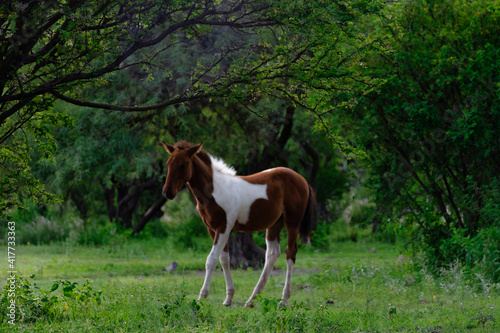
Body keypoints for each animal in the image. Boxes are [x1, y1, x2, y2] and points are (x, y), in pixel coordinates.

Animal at [162, 140, 314, 306]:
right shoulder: (213, 230)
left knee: (290, 253)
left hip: (292, 223)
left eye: (183, 165)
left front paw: (202, 296)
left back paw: (283, 300)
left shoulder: (223, 229)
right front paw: (228, 298)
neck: (214, 191)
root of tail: (303, 180)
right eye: (168, 163)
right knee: (272, 254)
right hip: (274, 225)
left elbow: (211, 259)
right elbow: (224, 260)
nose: (167, 192)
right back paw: (251, 299)